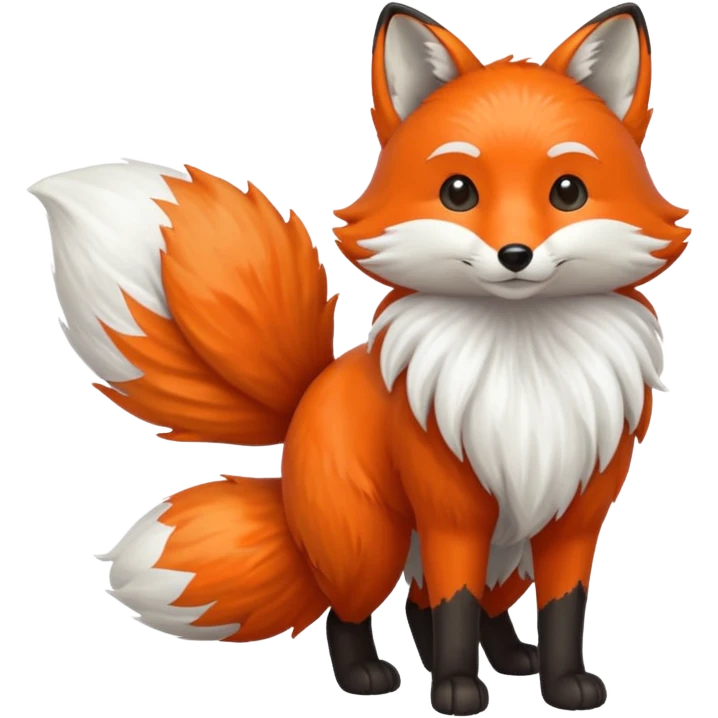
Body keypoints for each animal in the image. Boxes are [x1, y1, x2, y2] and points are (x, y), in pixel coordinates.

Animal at [29, 2, 690, 715]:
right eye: (459, 192)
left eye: (568, 192)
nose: (515, 255)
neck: (526, 367)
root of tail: (303, 404)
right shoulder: (452, 512)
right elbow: (454, 606)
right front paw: (455, 689)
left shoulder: (575, 516)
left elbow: (564, 609)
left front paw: (565, 684)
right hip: (374, 546)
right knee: (360, 610)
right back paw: (368, 676)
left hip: (507, 556)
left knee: (448, 607)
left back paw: (513, 660)